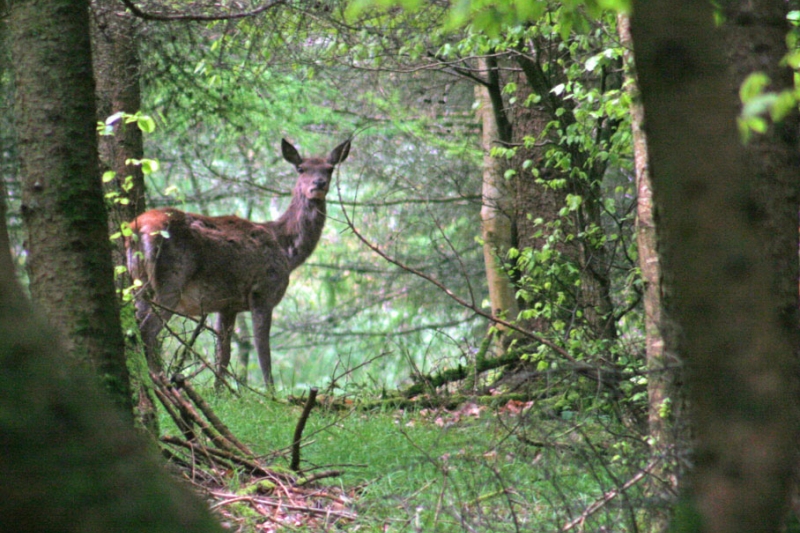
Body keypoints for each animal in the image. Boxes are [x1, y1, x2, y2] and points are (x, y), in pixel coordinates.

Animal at [126, 137, 350, 386]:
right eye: (301, 168)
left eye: (329, 169)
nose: (319, 184)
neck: (287, 250)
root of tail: (137, 228)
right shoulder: (264, 292)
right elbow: (264, 355)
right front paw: (270, 392)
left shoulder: (227, 305)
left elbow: (222, 356)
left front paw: (220, 391)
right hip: (170, 283)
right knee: (147, 331)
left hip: (139, 282)